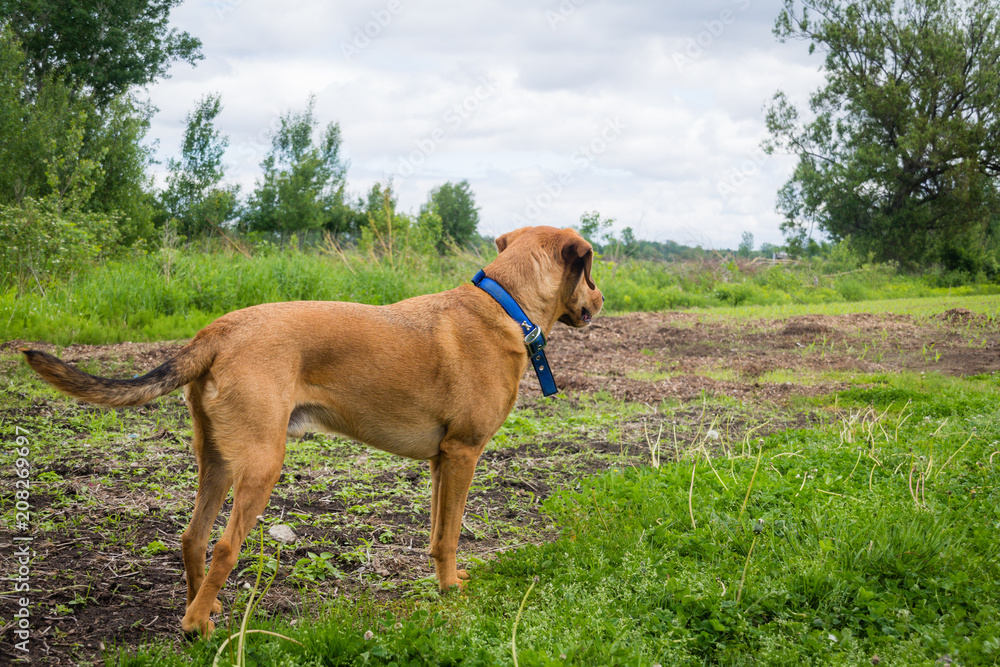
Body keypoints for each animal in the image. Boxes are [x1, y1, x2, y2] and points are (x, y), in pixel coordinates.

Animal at [21, 224, 600, 636]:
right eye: (591, 273)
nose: (598, 304)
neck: (507, 307)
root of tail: (216, 332)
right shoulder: (463, 453)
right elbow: (453, 534)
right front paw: (452, 593)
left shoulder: (442, 460)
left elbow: (438, 535)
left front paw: (443, 583)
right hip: (262, 464)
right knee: (225, 547)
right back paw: (196, 627)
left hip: (217, 460)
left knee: (192, 538)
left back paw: (206, 610)